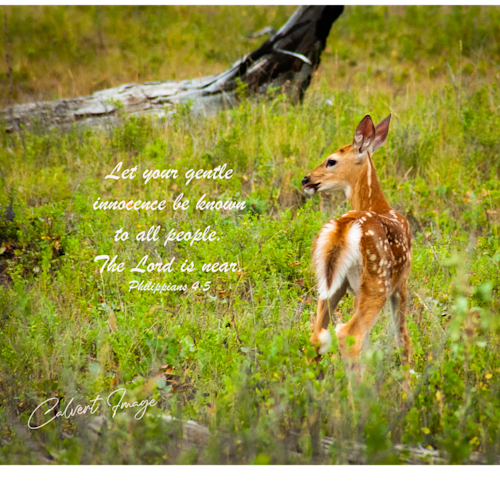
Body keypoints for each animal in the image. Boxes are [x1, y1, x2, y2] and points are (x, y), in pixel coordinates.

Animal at [302, 114, 412, 372]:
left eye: (331, 161)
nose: (306, 179)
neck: (379, 206)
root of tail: (342, 229)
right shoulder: (401, 282)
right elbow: (402, 337)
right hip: (377, 281)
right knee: (349, 334)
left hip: (330, 283)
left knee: (317, 335)